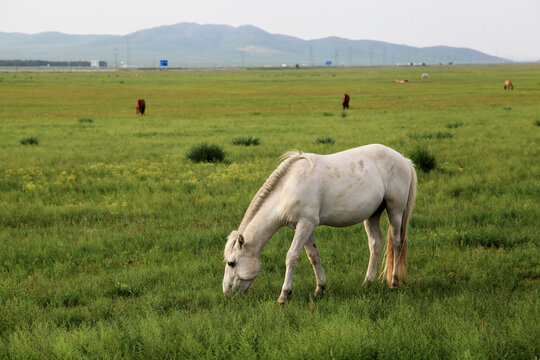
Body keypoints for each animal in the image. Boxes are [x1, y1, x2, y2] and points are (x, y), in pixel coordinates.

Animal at [221, 144, 416, 304]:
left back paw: (394, 282)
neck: (287, 187)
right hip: (373, 214)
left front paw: (284, 295)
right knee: (375, 244)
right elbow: (313, 256)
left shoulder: (306, 224)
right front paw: (320, 289)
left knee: (396, 242)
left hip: (395, 210)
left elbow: (291, 256)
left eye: (231, 263)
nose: (226, 293)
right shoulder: (304, 226)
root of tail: (404, 160)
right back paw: (368, 282)